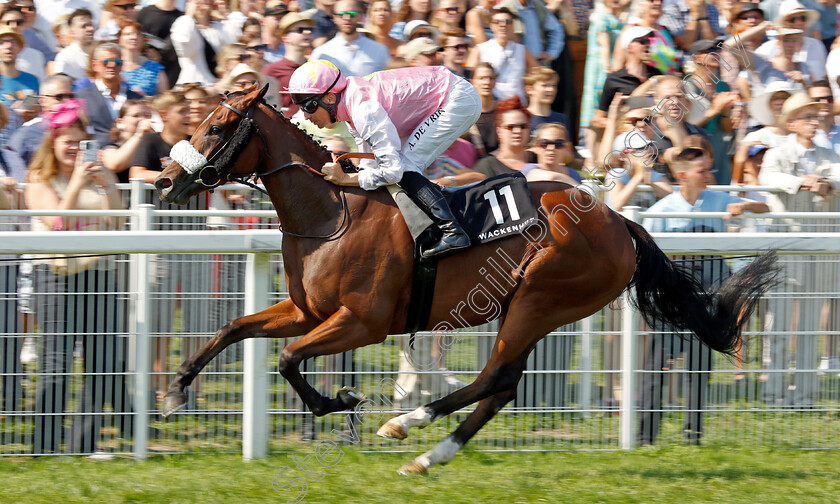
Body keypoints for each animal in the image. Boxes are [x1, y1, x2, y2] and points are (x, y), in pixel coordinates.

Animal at [156, 84, 776, 474]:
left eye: (217, 125)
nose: (163, 181)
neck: (332, 210)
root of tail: (619, 221)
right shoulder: (307, 311)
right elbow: (233, 329)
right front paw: (174, 389)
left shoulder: (363, 322)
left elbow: (288, 360)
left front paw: (341, 402)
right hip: (533, 309)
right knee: (502, 385)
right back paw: (426, 452)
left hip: (539, 299)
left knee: (495, 378)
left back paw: (407, 426)